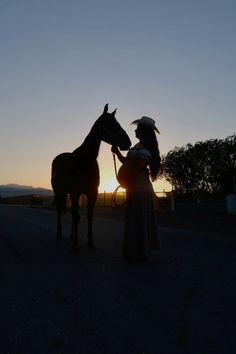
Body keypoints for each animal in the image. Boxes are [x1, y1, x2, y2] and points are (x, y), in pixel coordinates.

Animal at [51, 103, 131, 253]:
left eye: (117, 122)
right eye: (110, 123)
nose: (127, 143)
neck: (84, 161)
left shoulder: (92, 193)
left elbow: (89, 216)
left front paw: (90, 242)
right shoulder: (75, 193)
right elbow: (77, 216)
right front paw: (75, 246)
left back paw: (71, 235)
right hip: (59, 192)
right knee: (59, 210)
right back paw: (58, 234)